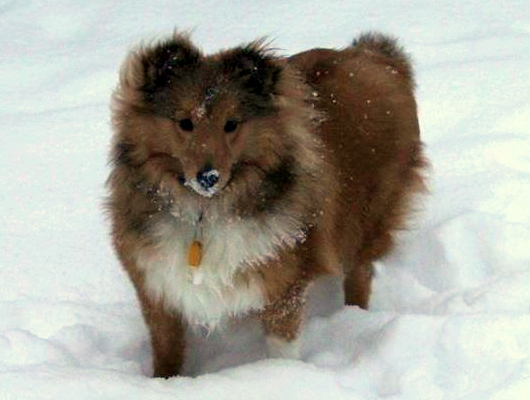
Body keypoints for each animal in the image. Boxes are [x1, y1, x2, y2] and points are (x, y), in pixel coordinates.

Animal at [106, 31, 426, 377]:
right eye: (184, 123)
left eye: (231, 124)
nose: (208, 177)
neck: (204, 214)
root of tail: (375, 57)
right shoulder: (155, 286)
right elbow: (166, 348)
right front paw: (163, 382)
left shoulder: (283, 284)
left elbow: (281, 346)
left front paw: (279, 375)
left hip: (365, 219)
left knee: (360, 272)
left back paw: (354, 316)